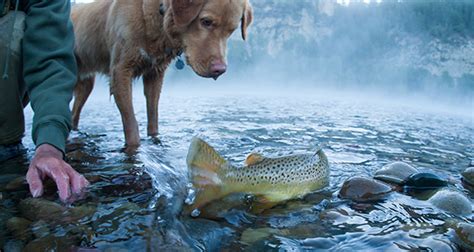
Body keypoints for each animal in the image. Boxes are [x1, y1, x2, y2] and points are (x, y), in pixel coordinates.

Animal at [70, 0, 252, 147]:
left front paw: (154, 139)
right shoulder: (120, 71)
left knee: (74, 114)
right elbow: (131, 125)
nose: (220, 70)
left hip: (86, 84)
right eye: (206, 21)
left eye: (232, 30)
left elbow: (153, 117)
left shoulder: (155, 74)